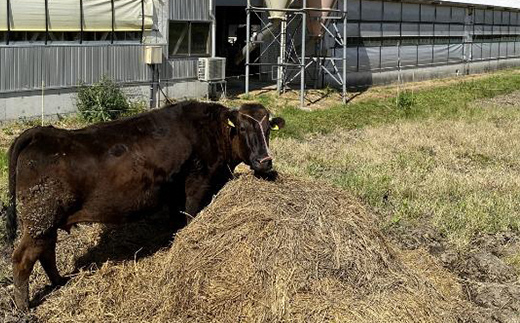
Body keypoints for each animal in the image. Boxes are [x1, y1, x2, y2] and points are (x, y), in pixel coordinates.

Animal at [4, 101, 286, 312]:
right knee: (22, 259)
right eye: (242, 128)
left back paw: (60, 281)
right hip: (40, 220)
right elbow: (190, 217)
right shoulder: (198, 183)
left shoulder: (174, 190)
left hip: (45, 223)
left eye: (268, 129)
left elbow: (176, 221)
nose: (264, 161)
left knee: (46, 252)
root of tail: (42, 132)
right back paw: (24, 308)